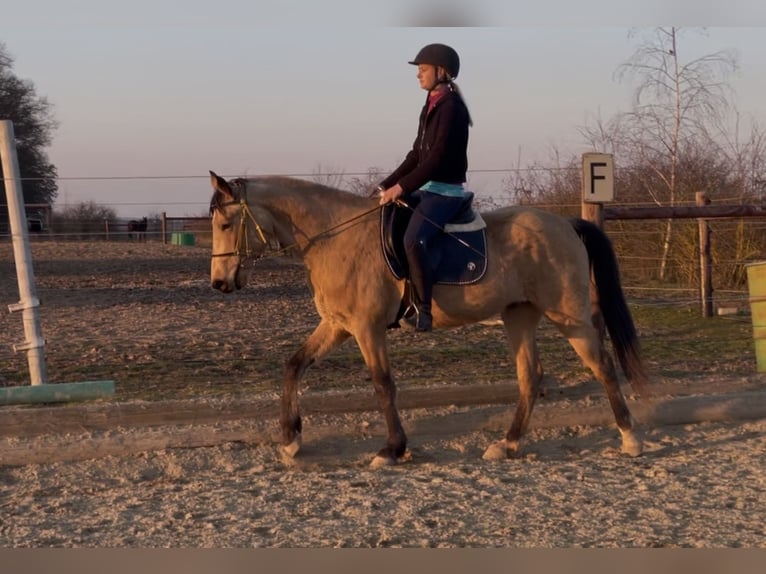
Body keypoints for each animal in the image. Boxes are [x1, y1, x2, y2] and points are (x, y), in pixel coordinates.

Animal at [208, 171, 649, 467]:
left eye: (226, 224)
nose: (219, 283)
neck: (335, 236)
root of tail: (567, 223)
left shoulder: (366, 328)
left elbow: (383, 385)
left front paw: (392, 449)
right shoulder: (338, 324)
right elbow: (294, 364)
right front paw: (290, 439)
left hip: (569, 315)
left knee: (602, 365)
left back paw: (630, 439)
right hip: (519, 315)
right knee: (531, 376)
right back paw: (507, 445)